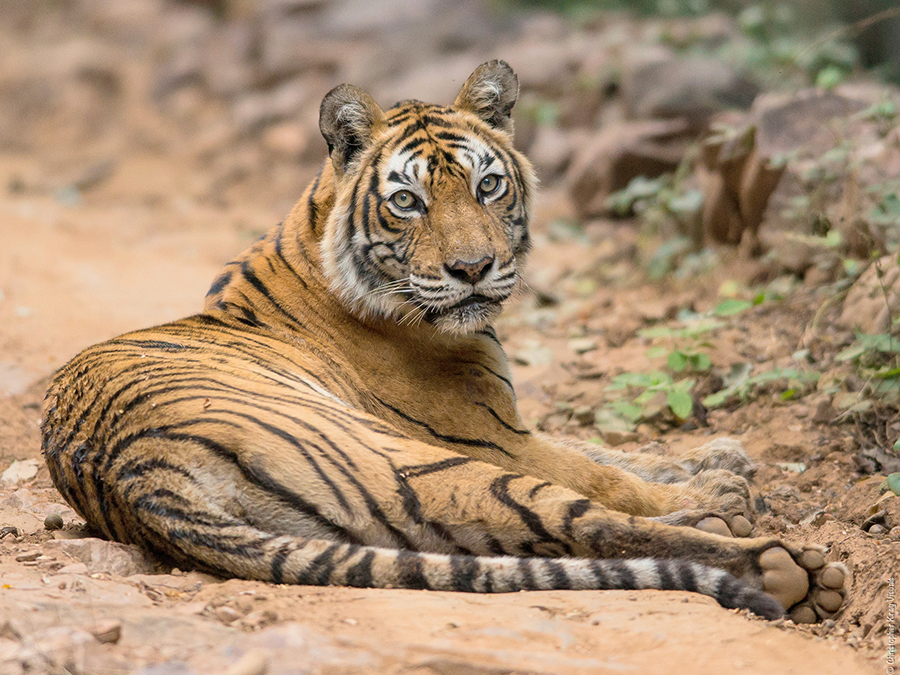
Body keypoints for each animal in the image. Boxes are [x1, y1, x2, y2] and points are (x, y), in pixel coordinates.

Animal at [40, 62, 844, 624]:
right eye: (407, 200)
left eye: (488, 187)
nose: (473, 269)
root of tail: (133, 472)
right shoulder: (490, 435)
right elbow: (604, 473)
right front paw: (718, 487)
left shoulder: (511, 421)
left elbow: (612, 450)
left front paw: (721, 460)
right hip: (422, 467)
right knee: (587, 525)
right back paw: (783, 562)